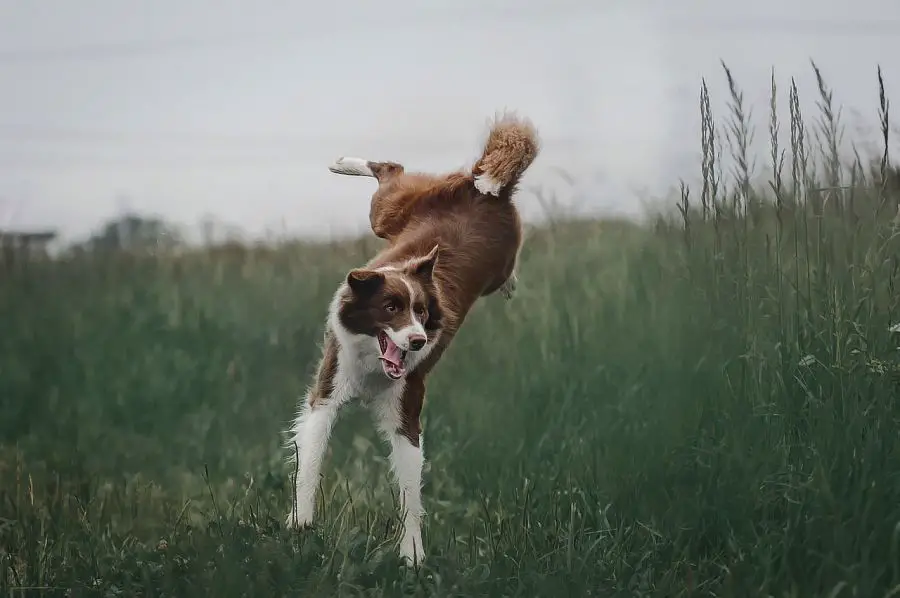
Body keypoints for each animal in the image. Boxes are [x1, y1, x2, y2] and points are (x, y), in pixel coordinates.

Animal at [286, 112, 540, 568]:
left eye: (422, 312)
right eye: (390, 308)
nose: (419, 341)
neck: (372, 364)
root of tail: (484, 188)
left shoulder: (407, 409)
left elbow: (409, 491)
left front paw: (412, 556)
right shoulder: (328, 390)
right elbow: (310, 458)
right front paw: (301, 521)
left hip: (475, 247)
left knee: (396, 173)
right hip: (389, 212)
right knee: (390, 172)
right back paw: (343, 162)